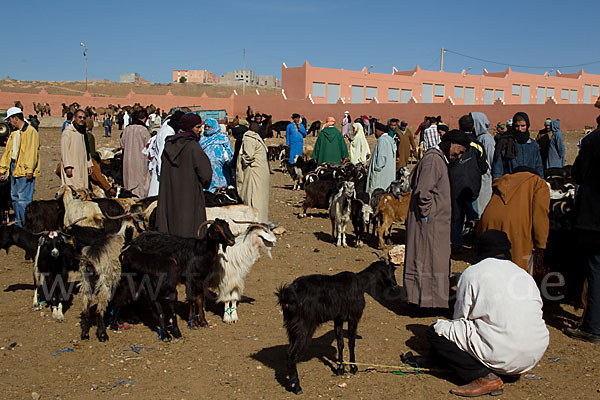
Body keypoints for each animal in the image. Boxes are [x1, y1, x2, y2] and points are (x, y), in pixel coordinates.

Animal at [276, 260, 398, 396]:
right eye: (391, 269)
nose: (395, 285)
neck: (361, 282)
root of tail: (286, 296)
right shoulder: (353, 317)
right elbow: (351, 342)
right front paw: (353, 367)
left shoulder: (338, 319)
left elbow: (340, 343)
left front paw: (340, 369)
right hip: (303, 328)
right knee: (291, 355)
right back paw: (297, 387)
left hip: (292, 328)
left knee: (288, 353)